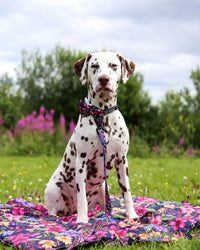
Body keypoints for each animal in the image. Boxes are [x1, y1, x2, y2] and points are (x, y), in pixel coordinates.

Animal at [45, 51, 138, 223]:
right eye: (94, 65)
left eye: (113, 65)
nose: (103, 79)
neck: (102, 116)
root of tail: (70, 210)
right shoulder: (82, 161)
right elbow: (81, 196)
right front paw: (82, 221)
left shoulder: (122, 160)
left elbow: (127, 192)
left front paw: (133, 216)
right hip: (54, 188)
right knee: (53, 211)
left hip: (102, 190)